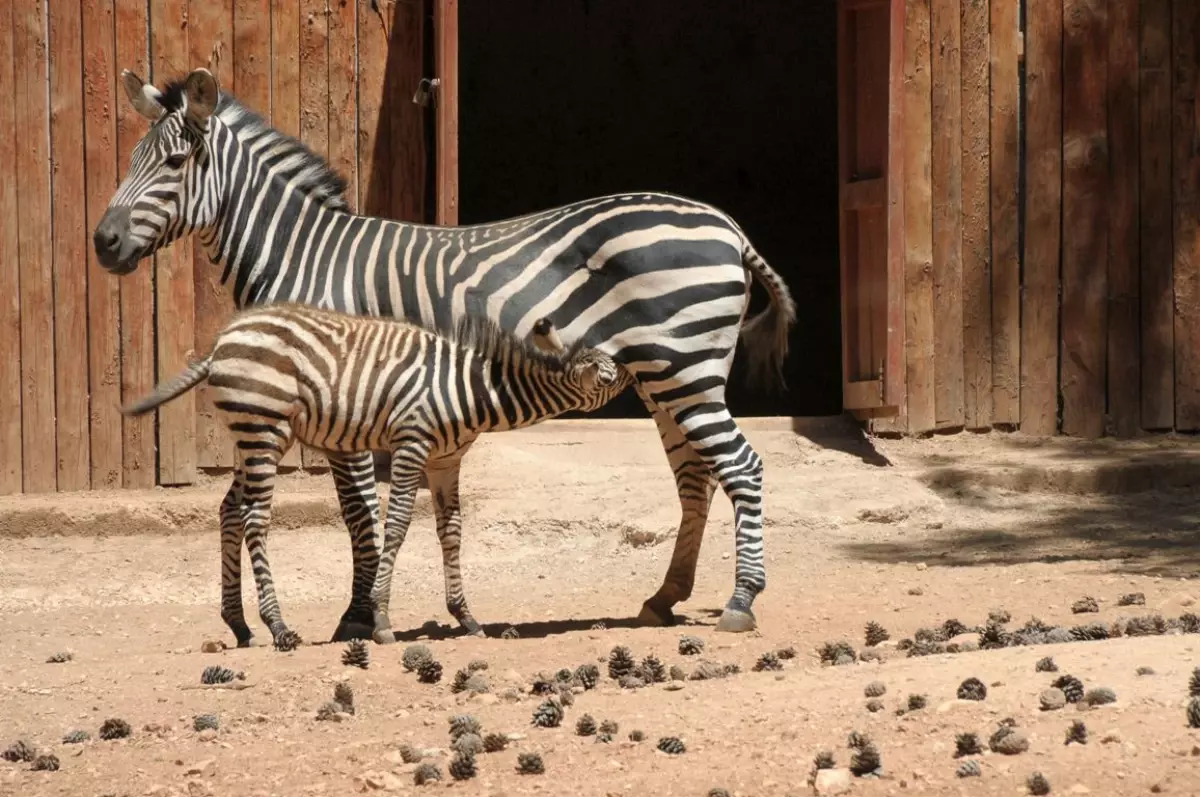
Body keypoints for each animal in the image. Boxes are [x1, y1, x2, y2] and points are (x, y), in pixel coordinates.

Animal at [123, 304, 633, 648]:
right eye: (613, 377)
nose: (638, 369)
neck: (472, 391)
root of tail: (220, 344)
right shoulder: (412, 445)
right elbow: (399, 525)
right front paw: (383, 620)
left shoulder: (446, 462)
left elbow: (451, 532)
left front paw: (465, 617)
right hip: (264, 431)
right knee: (254, 519)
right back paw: (279, 626)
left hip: (254, 436)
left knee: (230, 510)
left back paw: (241, 625)